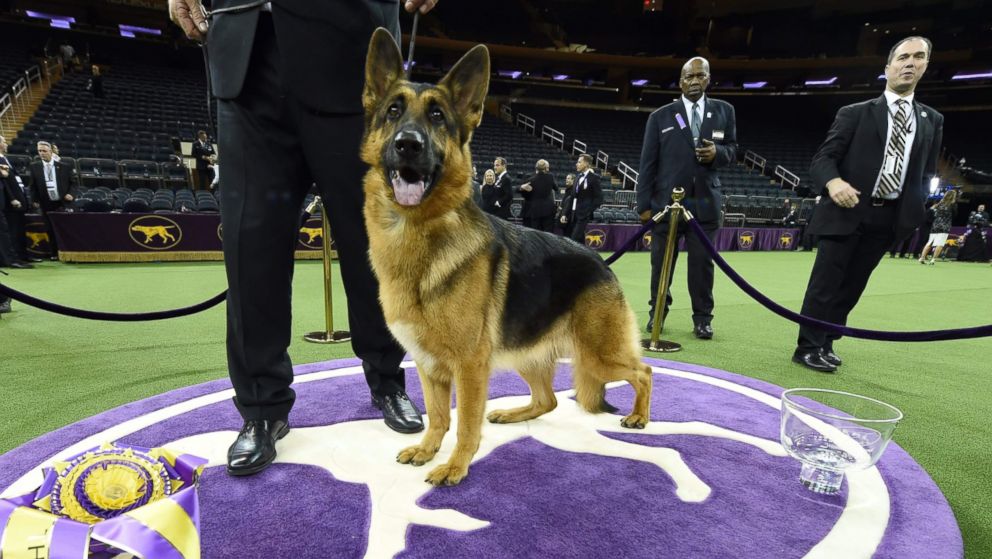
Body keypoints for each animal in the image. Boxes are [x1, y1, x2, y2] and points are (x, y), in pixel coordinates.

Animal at [360, 29, 656, 486]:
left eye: (438, 117)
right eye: (393, 111)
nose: (408, 144)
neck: (417, 234)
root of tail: (600, 263)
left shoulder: (469, 367)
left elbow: (464, 423)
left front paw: (456, 465)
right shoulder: (429, 366)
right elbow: (438, 417)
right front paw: (428, 451)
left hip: (598, 356)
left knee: (644, 372)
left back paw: (640, 417)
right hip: (531, 354)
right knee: (549, 399)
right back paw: (514, 413)